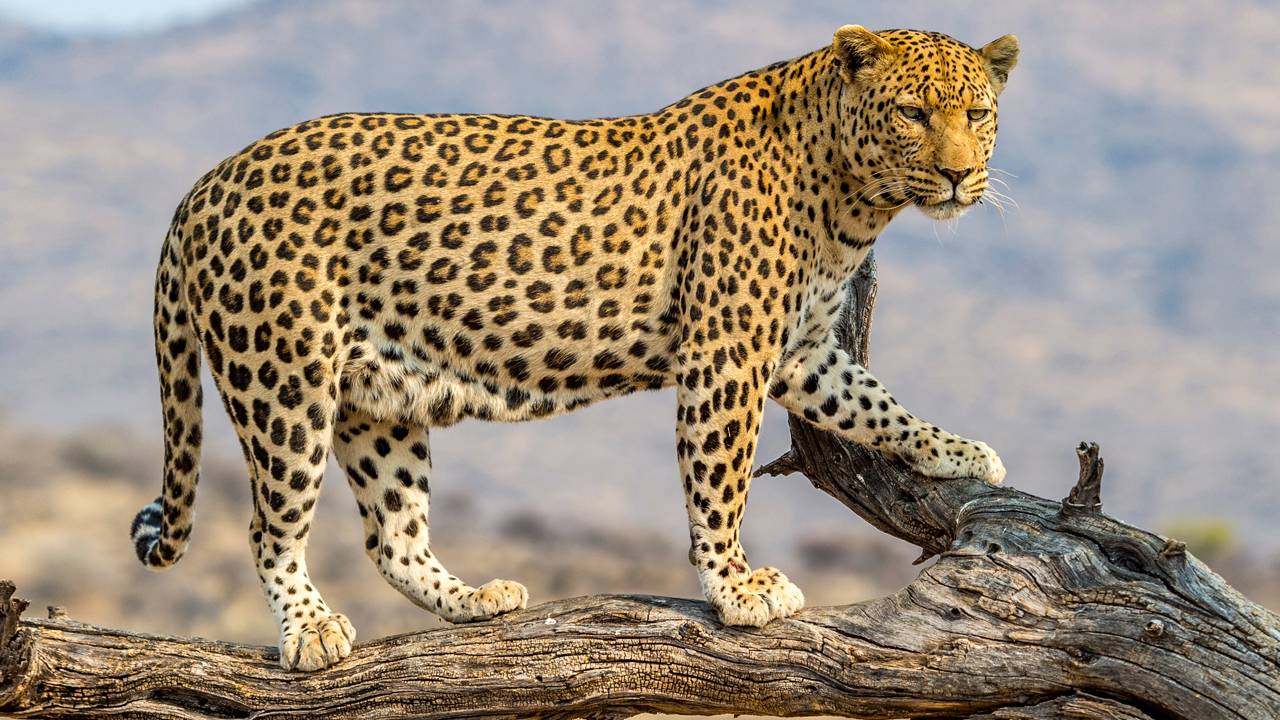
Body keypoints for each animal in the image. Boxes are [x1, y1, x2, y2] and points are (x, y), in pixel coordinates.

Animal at [131, 25, 1019, 671]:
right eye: (912, 113)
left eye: (976, 116)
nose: (957, 175)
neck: (852, 201)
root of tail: (202, 185)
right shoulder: (727, 353)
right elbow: (720, 480)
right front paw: (735, 587)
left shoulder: (800, 351)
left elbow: (875, 403)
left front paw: (958, 451)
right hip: (284, 380)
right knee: (270, 528)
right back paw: (311, 632)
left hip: (376, 400)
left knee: (393, 536)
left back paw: (472, 601)